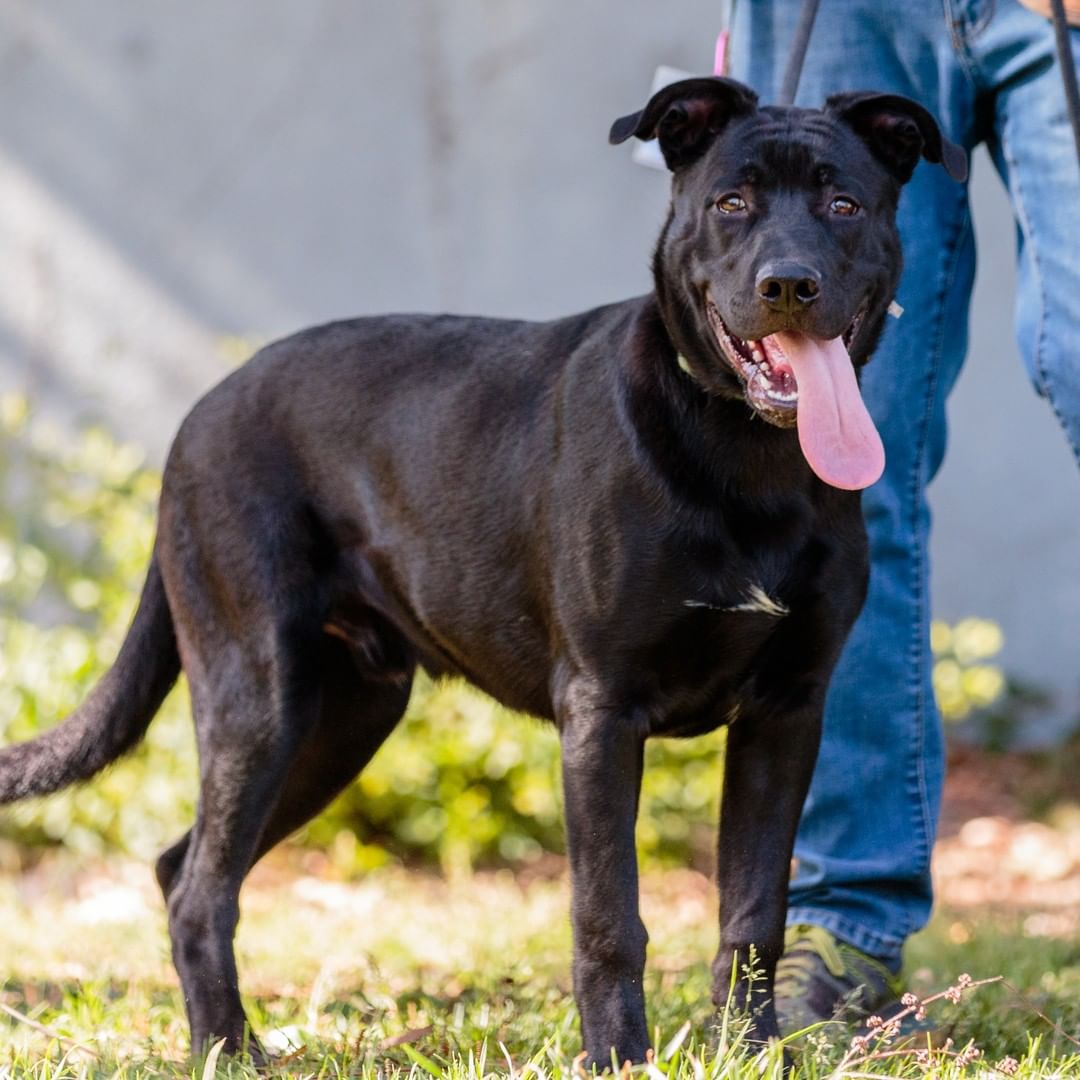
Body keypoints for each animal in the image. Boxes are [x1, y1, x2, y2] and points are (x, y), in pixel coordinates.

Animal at [0, 78, 963, 1062]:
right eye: (732, 203)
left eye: (843, 205)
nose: (788, 285)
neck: (748, 455)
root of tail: (196, 415)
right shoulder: (601, 711)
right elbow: (609, 916)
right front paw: (618, 1059)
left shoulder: (785, 711)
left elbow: (754, 909)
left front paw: (750, 1050)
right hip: (258, 697)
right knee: (201, 885)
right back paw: (228, 1052)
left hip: (343, 715)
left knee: (179, 865)